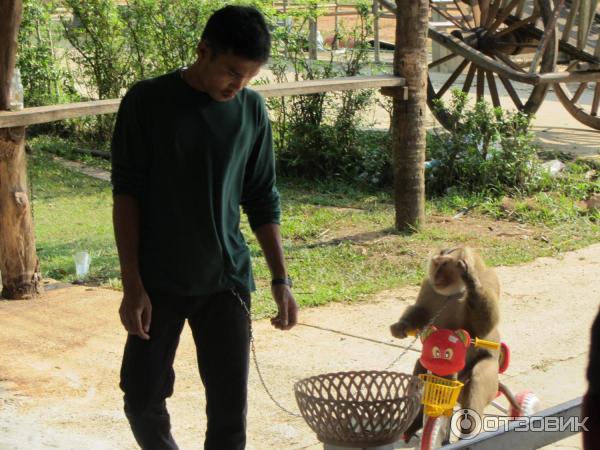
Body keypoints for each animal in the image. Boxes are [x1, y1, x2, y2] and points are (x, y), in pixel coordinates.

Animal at [390, 244, 502, 442]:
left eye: (445, 265)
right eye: (436, 264)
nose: (436, 276)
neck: (453, 290)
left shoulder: (490, 278)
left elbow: (481, 328)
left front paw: (470, 280)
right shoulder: (428, 285)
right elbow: (421, 311)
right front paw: (402, 326)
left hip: (486, 376)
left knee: (479, 374)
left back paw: (467, 434)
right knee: (420, 368)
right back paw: (414, 424)